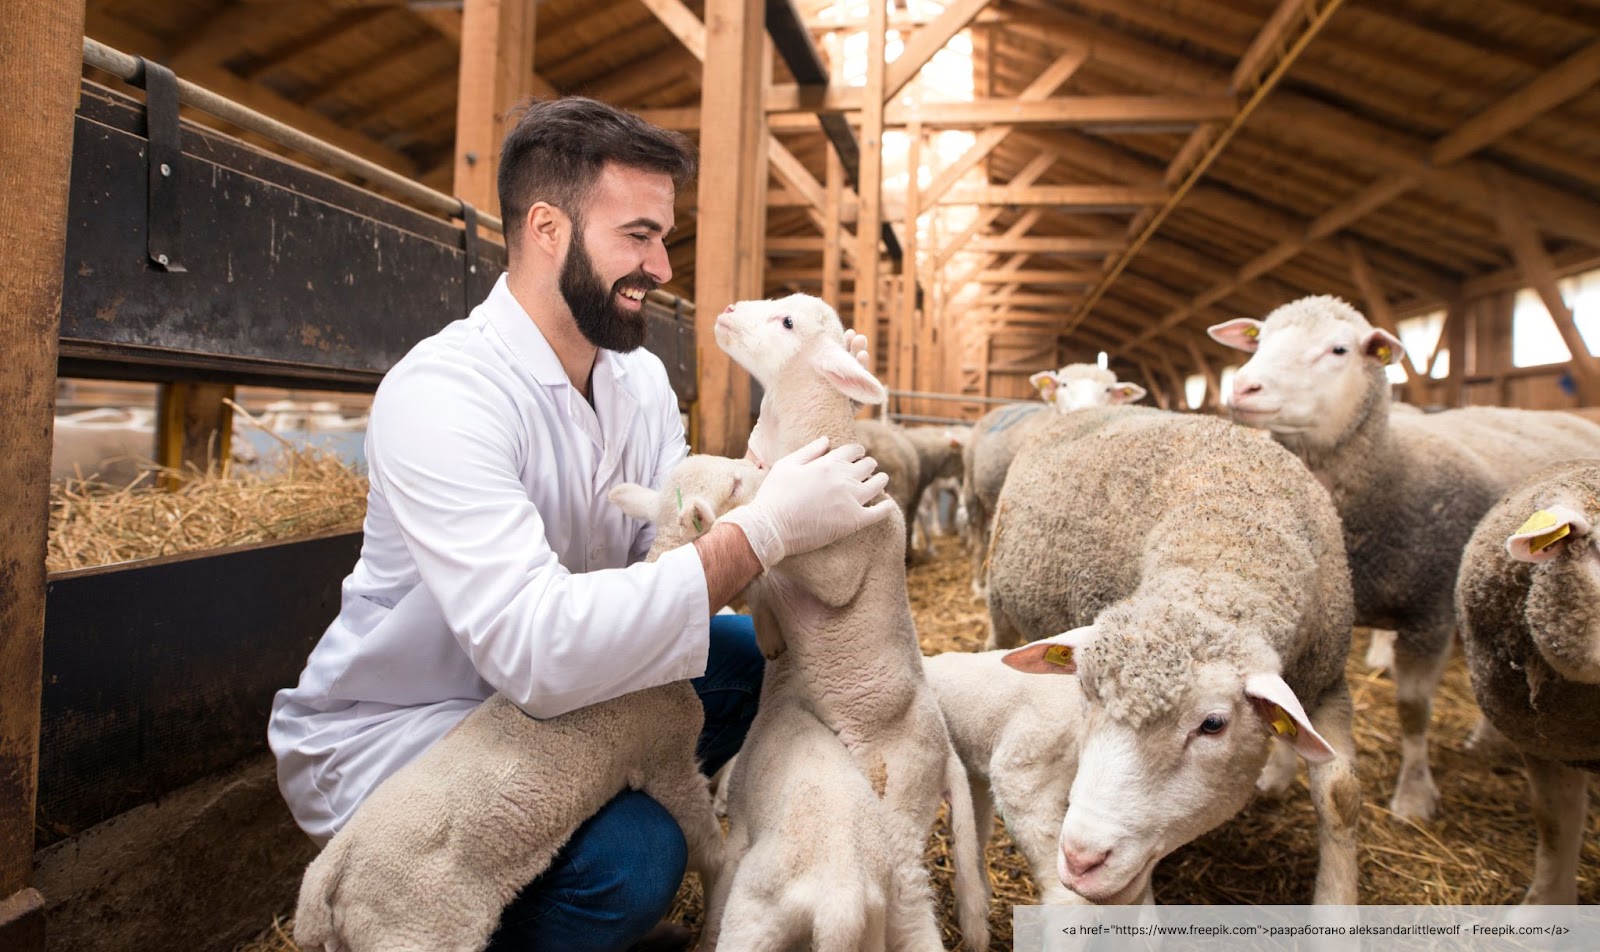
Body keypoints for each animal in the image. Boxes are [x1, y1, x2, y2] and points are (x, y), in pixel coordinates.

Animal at [291, 451, 758, 952]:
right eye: (734, 485)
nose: (763, 468)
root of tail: (326, 877)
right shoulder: (666, 757)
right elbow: (706, 847)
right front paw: (719, 901)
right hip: (415, 929)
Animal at [710, 292, 985, 952]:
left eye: (786, 322)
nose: (726, 309)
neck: (807, 436)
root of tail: (945, 752)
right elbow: (762, 575)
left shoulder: (837, 562)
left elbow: (767, 511)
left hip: (898, 808)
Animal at [979, 412, 1356, 902]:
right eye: (1084, 695)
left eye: (1213, 725)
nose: (1082, 861)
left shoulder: (1328, 680)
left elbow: (1340, 797)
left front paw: (1336, 906)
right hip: (998, 595)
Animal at [1203, 296, 1600, 819]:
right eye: (1260, 340)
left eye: (1339, 349)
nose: (1244, 387)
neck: (1388, 475)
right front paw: (1276, 776)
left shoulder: (1429, 615)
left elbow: (1413, 710)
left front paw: (1413, 794)